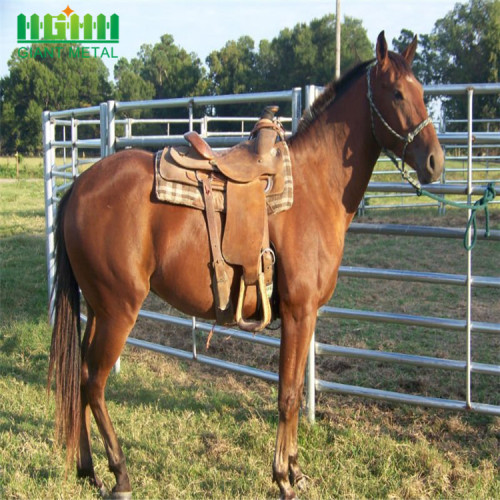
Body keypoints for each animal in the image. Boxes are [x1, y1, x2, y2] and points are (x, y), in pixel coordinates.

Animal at [48, 32, 444, 500]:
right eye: (397, 92)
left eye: (421, 91)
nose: (436, 161)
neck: (313, 186)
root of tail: (79, 187)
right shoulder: (298, 312)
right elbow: (288, 395)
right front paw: (283, 478)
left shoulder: (304, 317)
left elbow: (294, 389)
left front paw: (295, 470)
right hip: (118, 310)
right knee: (94, 382)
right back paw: (120, 474)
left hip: (97, 309)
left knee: (79, 375)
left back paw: (87, 468)